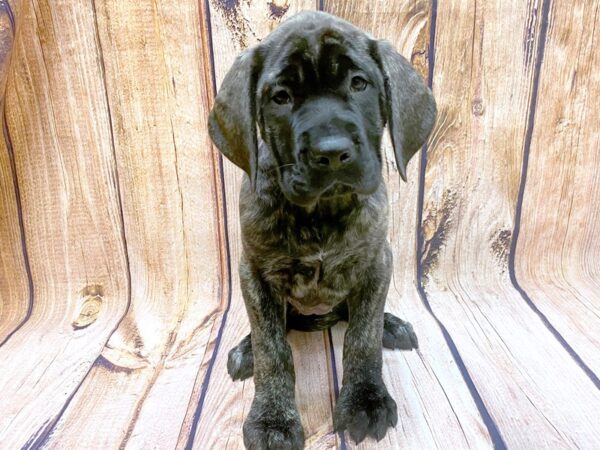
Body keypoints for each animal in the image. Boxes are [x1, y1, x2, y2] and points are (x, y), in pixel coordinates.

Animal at [209, 10, 438, 450]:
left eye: (359, 84)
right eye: (280, 97)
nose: (331, 153)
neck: (320, 214)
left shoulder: (375, 261)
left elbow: (363, 337)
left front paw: (365, 399)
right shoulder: (255, 273)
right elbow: (272, 349)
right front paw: (272, 419)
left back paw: (392, 325)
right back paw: (246, 351)